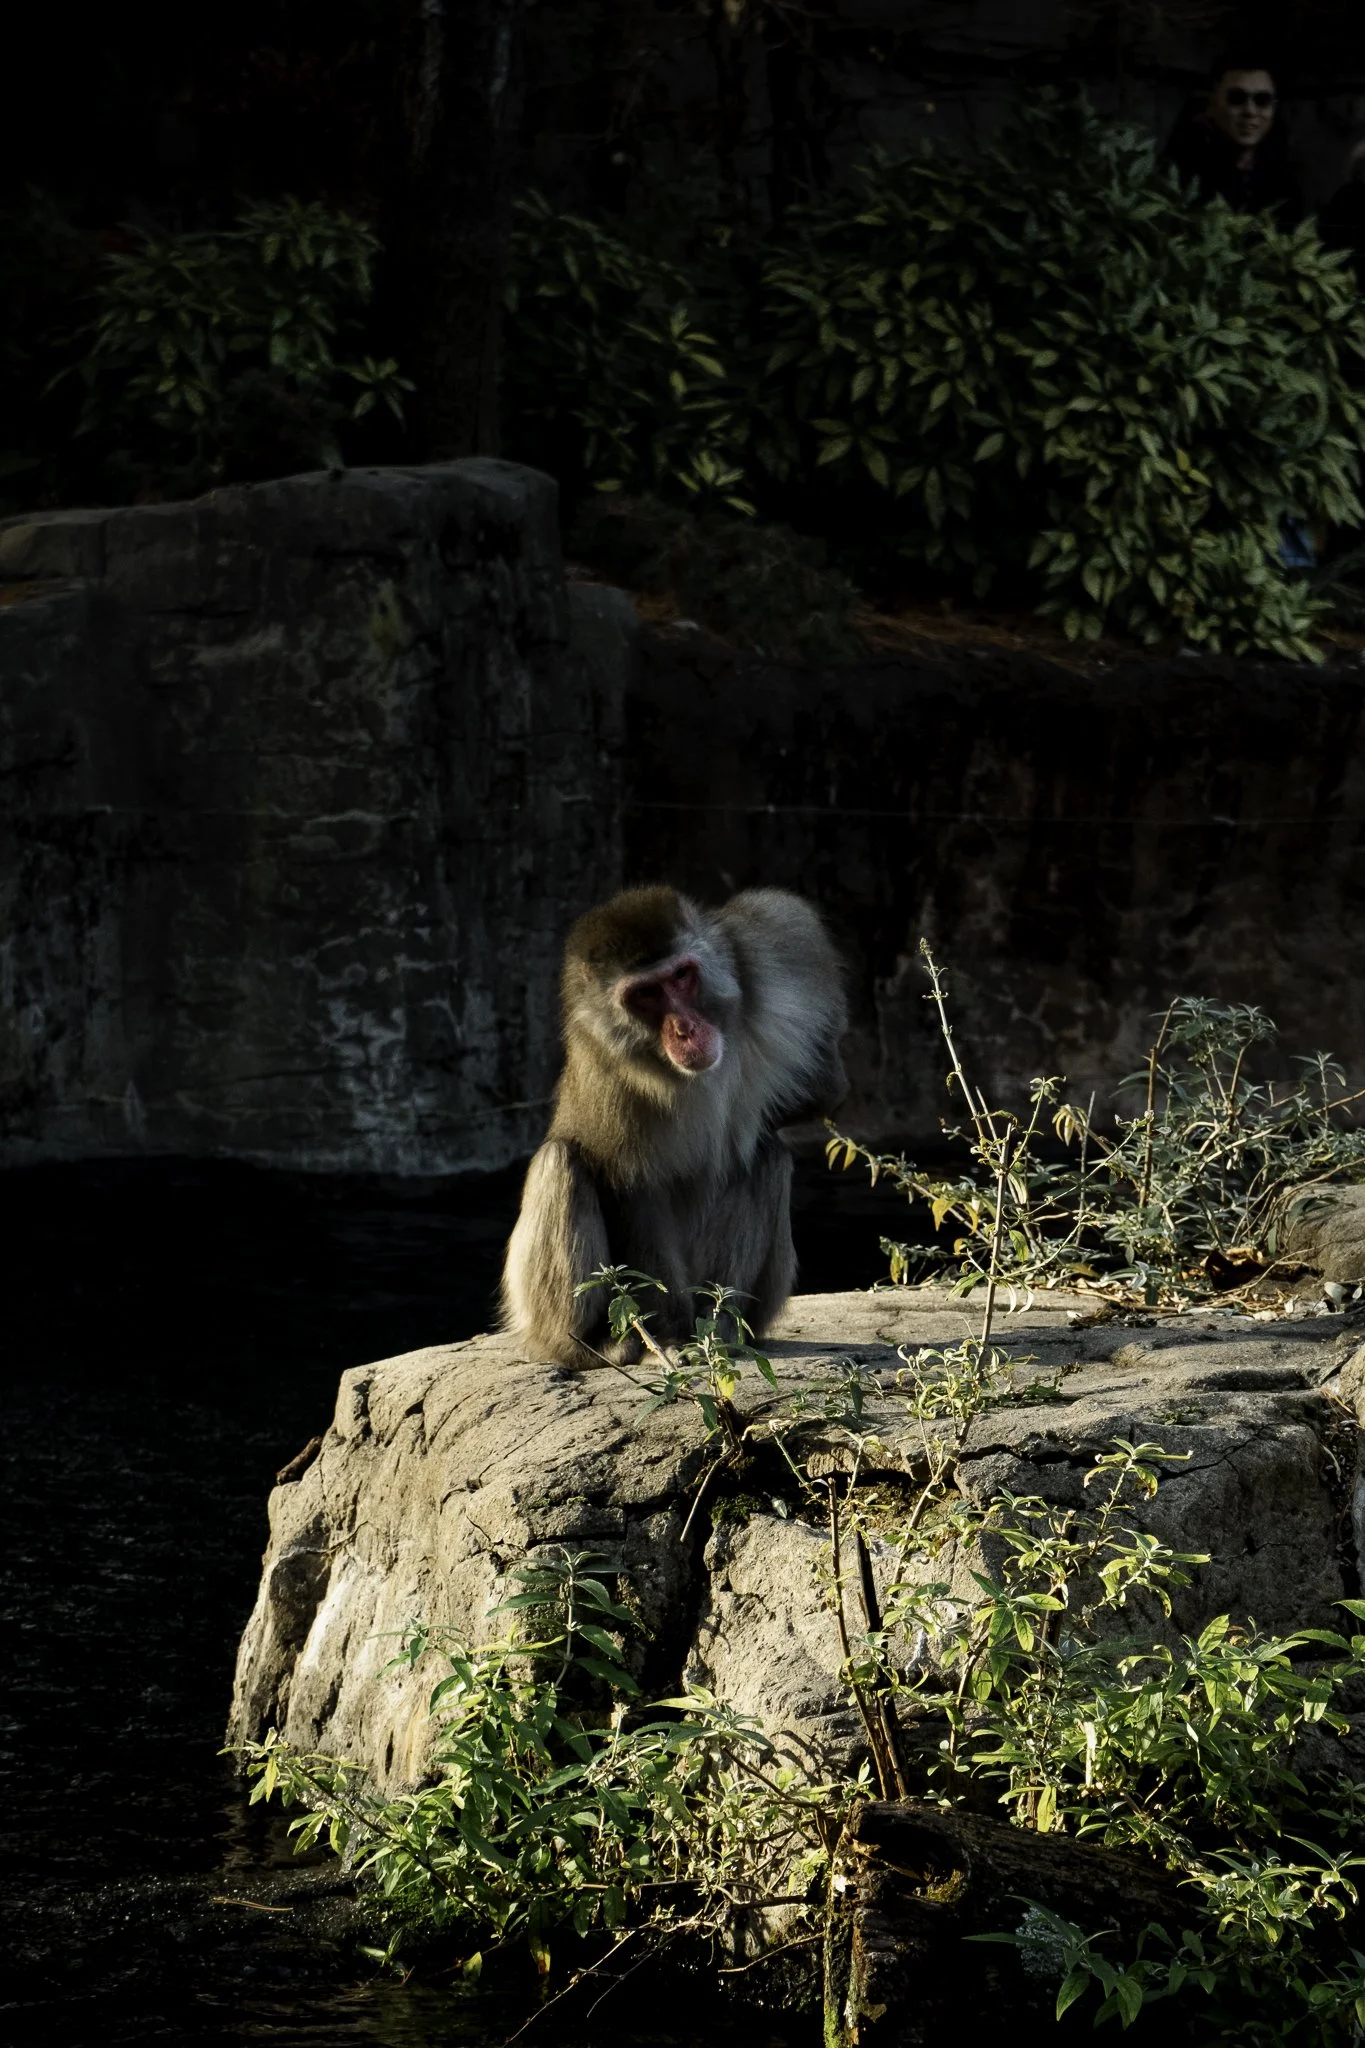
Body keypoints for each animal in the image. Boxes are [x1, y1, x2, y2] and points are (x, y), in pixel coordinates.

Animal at [501, 885, 848, 1369]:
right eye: (645, 994)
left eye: (682, 977)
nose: (685, 1029)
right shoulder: (601, 1058)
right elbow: (629, 1186)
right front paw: (663, 1334)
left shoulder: (782, 937)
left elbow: (827, 1085)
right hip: (541, 1320)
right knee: (561, 1161)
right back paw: (595, 1343)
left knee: (763, 1155)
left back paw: (719, 1326)